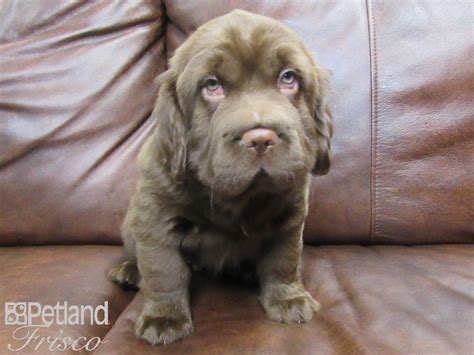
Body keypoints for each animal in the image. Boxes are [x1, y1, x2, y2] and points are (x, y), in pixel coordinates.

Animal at [110, 9, 334, 346]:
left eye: (288, 78)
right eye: (212, 85)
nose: (261, 138)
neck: (235, 197)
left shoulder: (290, 213)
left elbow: (284, 258)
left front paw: (288, 300)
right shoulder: (156, 215)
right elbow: (164, 268)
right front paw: (164, 318)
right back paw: (129, 271)